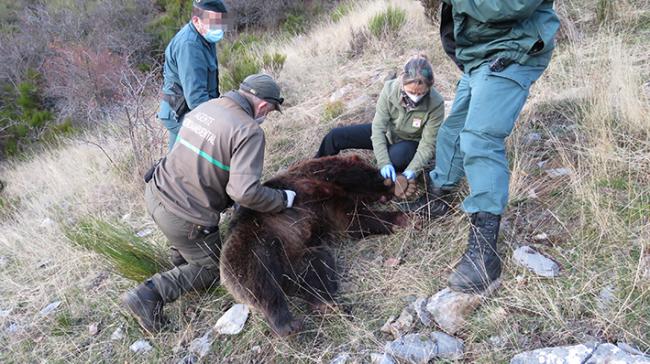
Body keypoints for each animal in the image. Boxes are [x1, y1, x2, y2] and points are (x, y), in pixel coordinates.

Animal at [220, 154, 408, 336]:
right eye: (375, 172)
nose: (390, 182)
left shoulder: (333, 208)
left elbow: (356, 221)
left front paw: (402, 218)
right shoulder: (317, 183)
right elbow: (355, 215)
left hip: (303, 253)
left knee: (317, 270)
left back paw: (327, 306)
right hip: (253, 246)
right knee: (262, 284)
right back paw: (287, 325)